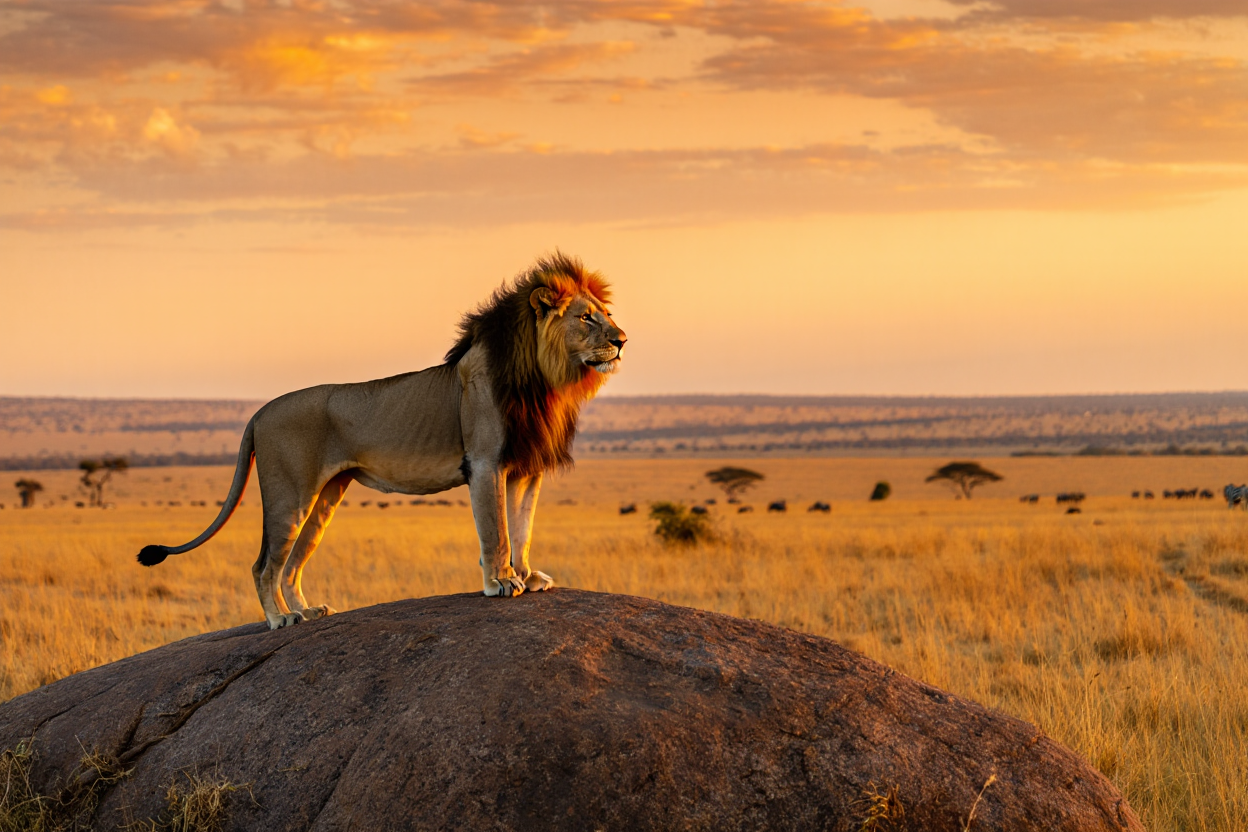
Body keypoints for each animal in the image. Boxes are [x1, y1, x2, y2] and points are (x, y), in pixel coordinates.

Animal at [137, 253, 626, 629]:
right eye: (585, 317)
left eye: (608, 315)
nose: (622, 340)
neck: (546, 381)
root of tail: (259, 412)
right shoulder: (487, 461)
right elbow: (497, 532)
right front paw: (501, 582)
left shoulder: (526, 468)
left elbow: (522, 528)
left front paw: (528, 576)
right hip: (288, 495)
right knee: (264, 565)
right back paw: (280, 619)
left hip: (325, 497)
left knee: (292, 564)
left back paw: (308, 612)